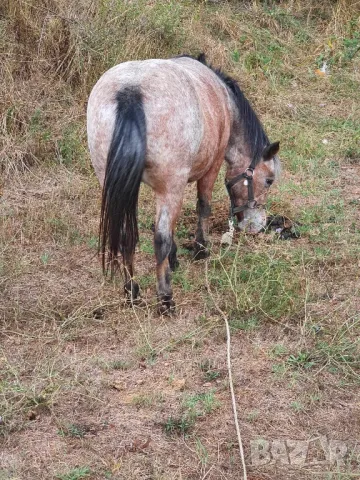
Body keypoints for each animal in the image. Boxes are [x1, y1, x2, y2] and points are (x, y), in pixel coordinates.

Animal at [87, 54, 282, 314]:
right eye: (269, 180)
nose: (257, 226)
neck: (225, 102)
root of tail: (131, 92)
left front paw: (174, 258)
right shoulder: (212, 167)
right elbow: (203, 207)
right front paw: (200, 248)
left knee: (126, 234)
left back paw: (132, 291)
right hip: (171, 187)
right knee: (159, 238)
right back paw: (165, 299)